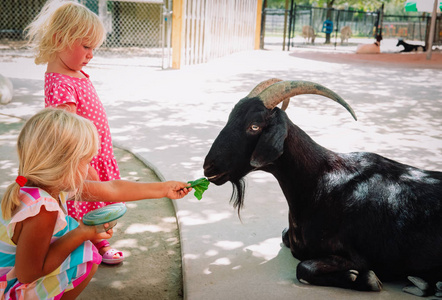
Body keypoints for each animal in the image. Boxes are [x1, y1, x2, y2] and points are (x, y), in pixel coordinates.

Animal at [204, 78, 442, 296]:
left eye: (254, 126)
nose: (208, 167)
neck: (317, 182)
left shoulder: (360, 256)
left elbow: (304, 267)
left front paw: (365, 279)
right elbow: (285, 237)